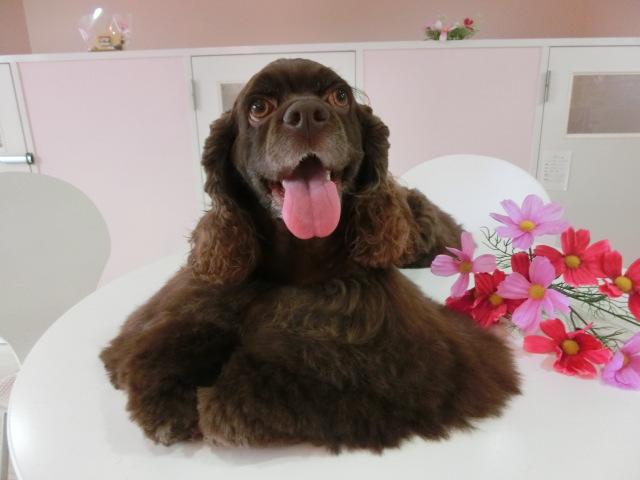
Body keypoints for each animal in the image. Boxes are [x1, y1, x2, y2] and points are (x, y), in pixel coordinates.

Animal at [100, 58, 520, 453]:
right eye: (258, 107)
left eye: (340, 96)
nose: (306, 114)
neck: (295, 257)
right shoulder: (196, 296)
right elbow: (176, 332)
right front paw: (166, 394)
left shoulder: (386, 340)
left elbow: (309, 360)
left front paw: (225, 403)